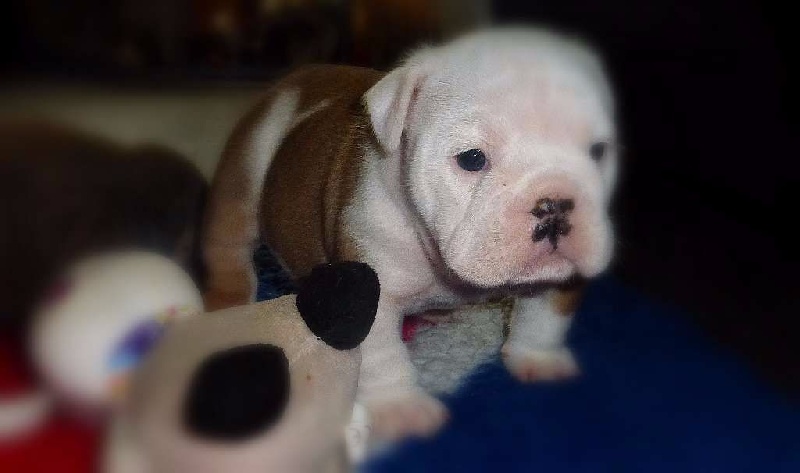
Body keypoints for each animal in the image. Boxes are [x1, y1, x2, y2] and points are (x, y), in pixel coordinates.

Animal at [204, 27, 619, 441]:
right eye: (472, 159)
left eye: (599, 151)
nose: (554, 204)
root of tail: (299, 77)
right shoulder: (369, 289)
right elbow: (382, 356)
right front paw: (399, 408)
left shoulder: (559, 278)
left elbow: (545, 315)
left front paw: (538, 359)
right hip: (244, 180)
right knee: (230, 252)